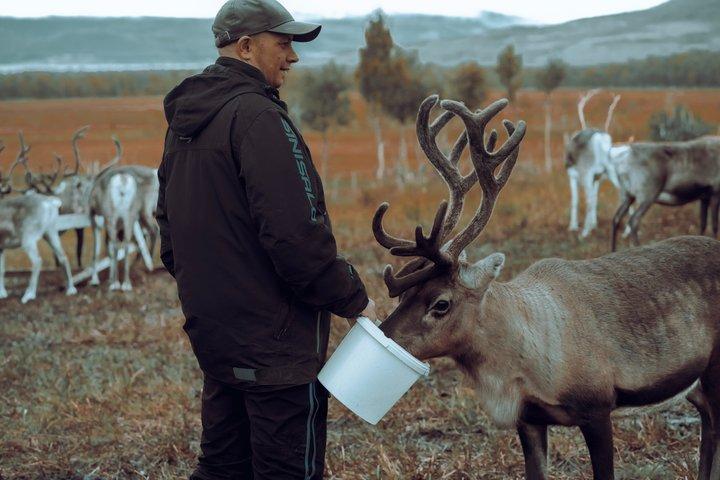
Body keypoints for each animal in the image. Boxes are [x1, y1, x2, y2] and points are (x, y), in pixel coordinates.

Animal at [0, 136, 77, 303]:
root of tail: (50, 202)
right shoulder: (1, 247)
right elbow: (2, 269)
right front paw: (2, 293)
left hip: (28, 239)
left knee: (37, 261)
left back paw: (28, 295)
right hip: (51, 233)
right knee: (63, 256)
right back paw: (71, 289)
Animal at [565, 89, 622, 238]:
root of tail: (601, 138)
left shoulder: (573, 176)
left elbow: (575, 201)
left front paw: (573, 226)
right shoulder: (597, 178)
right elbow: (596, 199)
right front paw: (594, 224)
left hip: (586, 176)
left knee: (589, 201)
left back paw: (584, 233)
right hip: (610, 173)